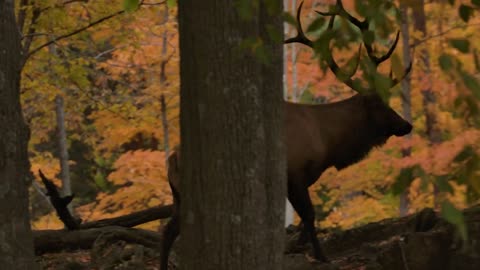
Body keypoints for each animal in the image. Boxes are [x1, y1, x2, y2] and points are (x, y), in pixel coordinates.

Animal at [160, 0, 412, 266]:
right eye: (381, 105)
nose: (407, 125)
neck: (328, 142)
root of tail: (172, 158)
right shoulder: (295, 174)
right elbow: (309, 215)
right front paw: (321, 256)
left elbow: (303, 220)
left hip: (177, 195)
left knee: (169, 230)